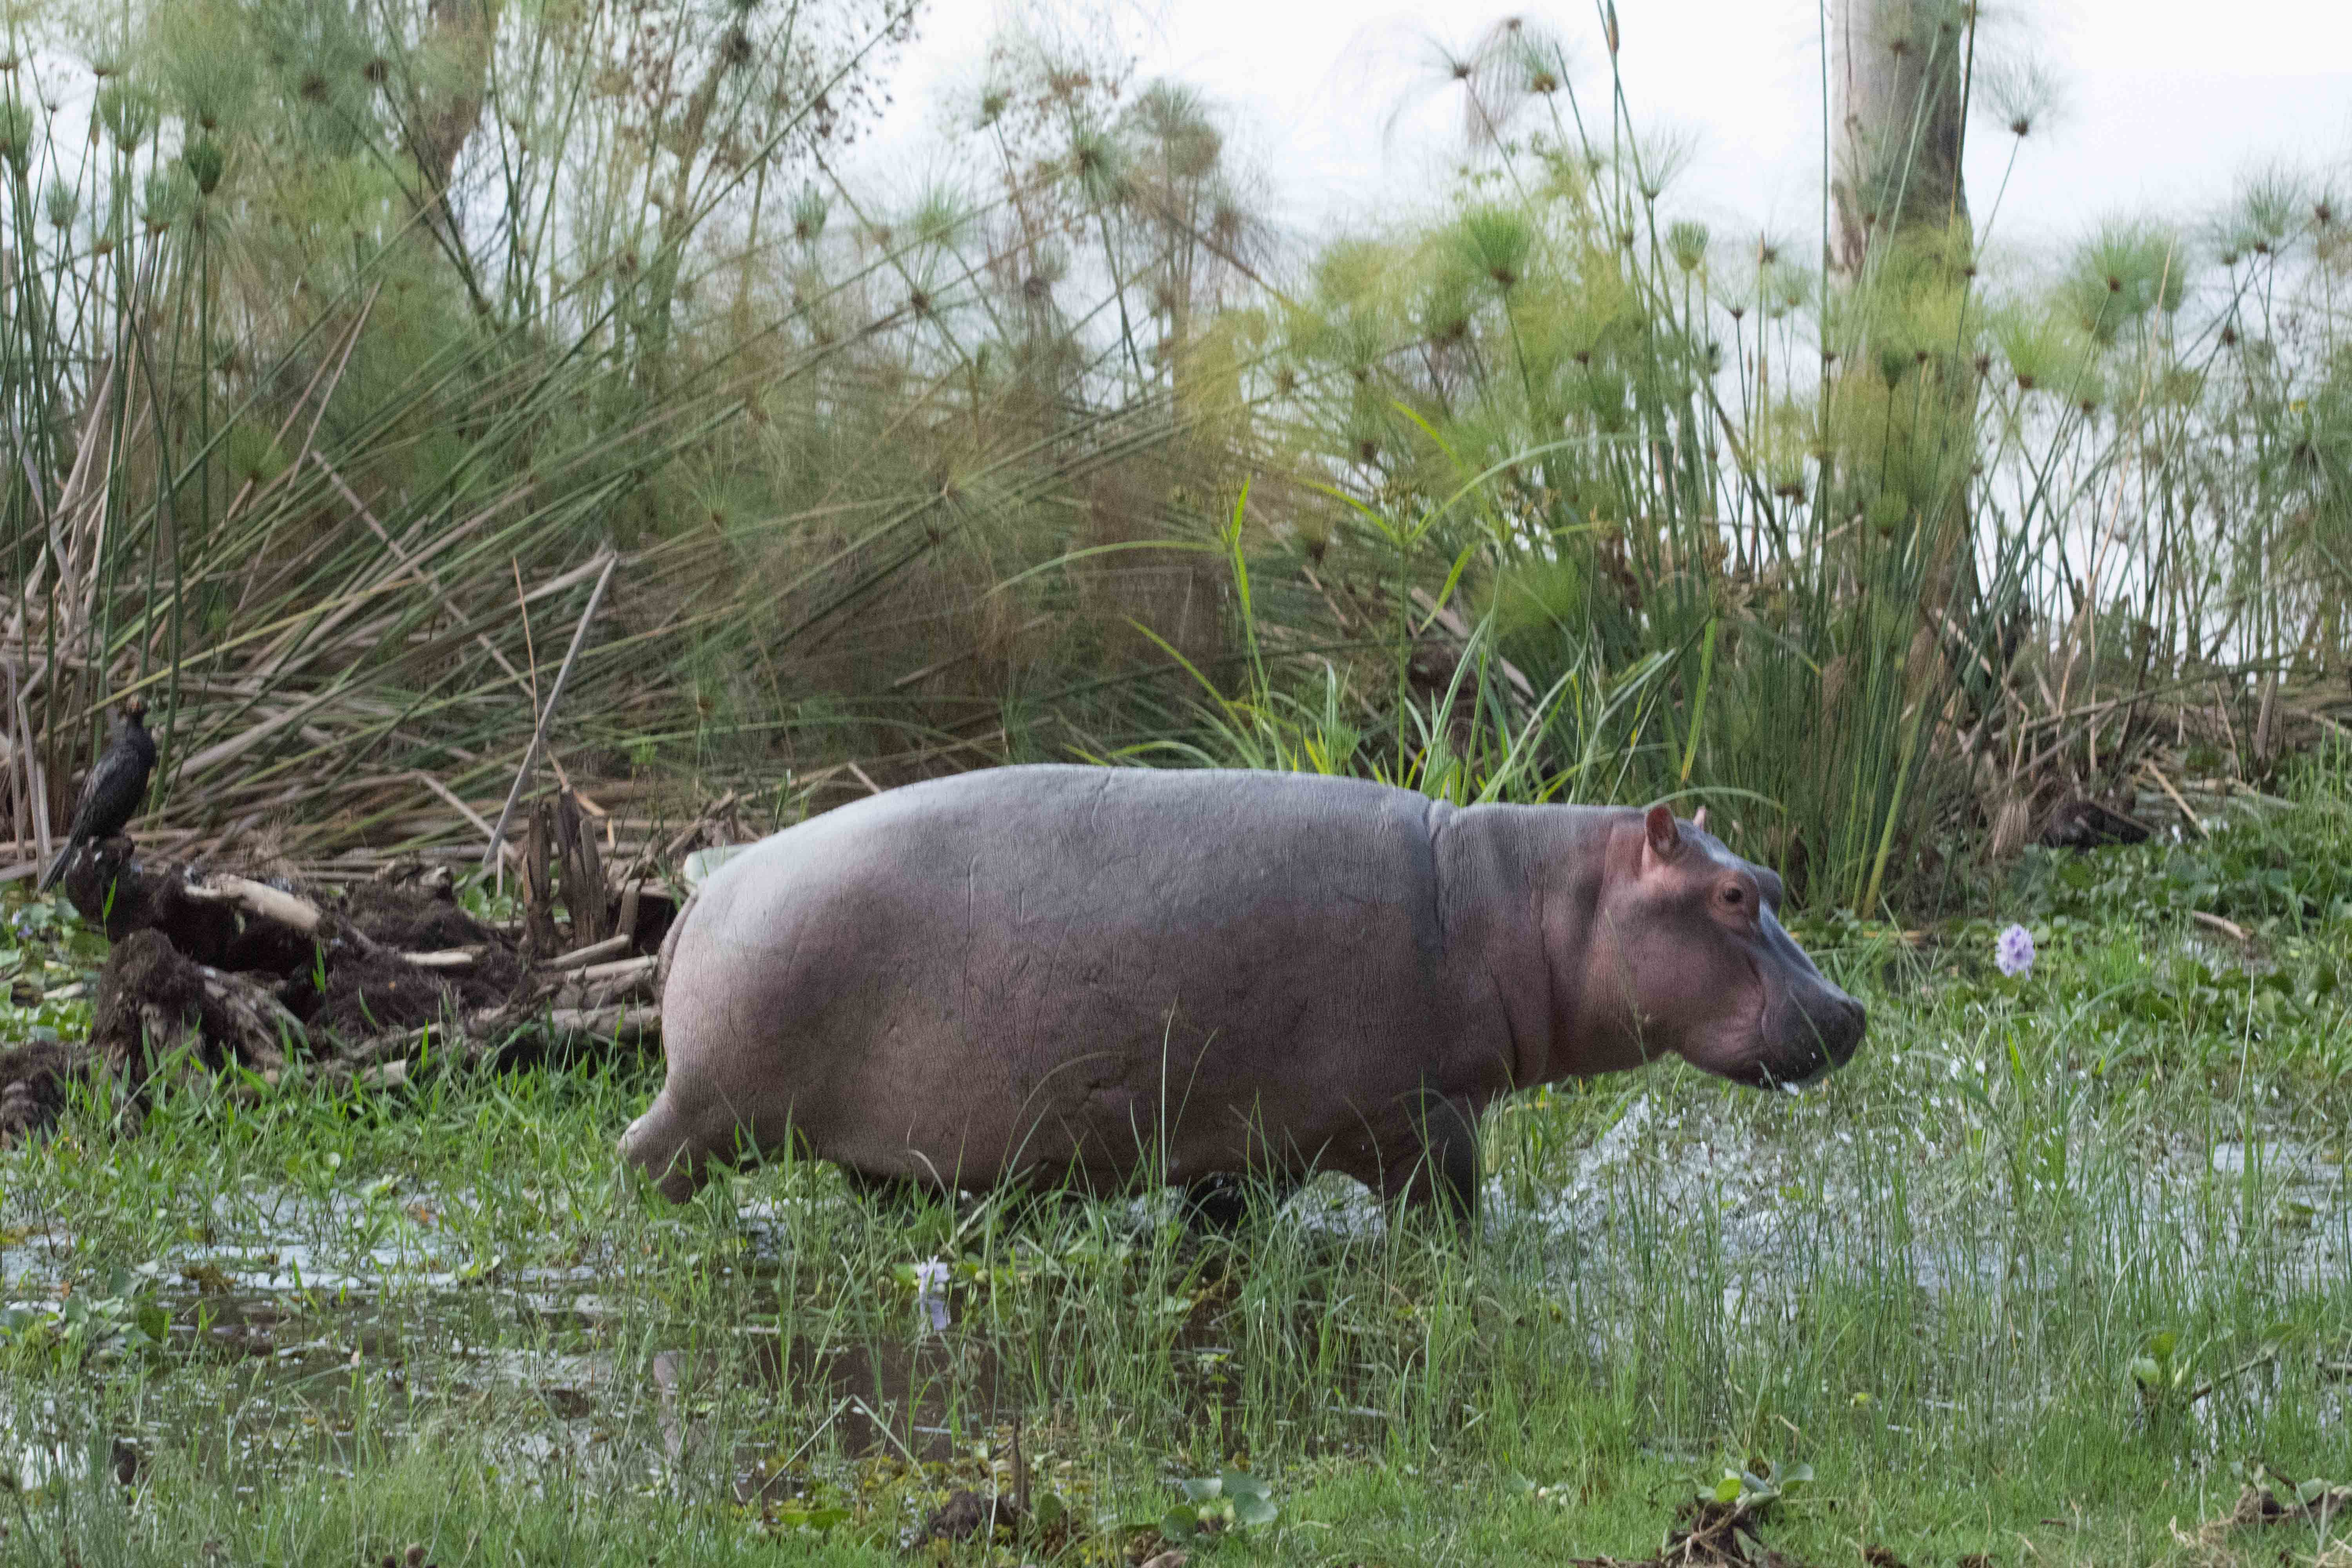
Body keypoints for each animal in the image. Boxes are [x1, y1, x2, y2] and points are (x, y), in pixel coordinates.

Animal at [620, 765, 1864, 1220]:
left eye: (1774, 881)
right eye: (1730, 898)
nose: (1852, 1011)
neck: (1520, 899)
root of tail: (702, 895)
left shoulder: (1250, 1134)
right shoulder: (1421, 1112)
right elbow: (1456, 1210)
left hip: (873, 1140)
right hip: (710, 1106)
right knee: (644, 1158)